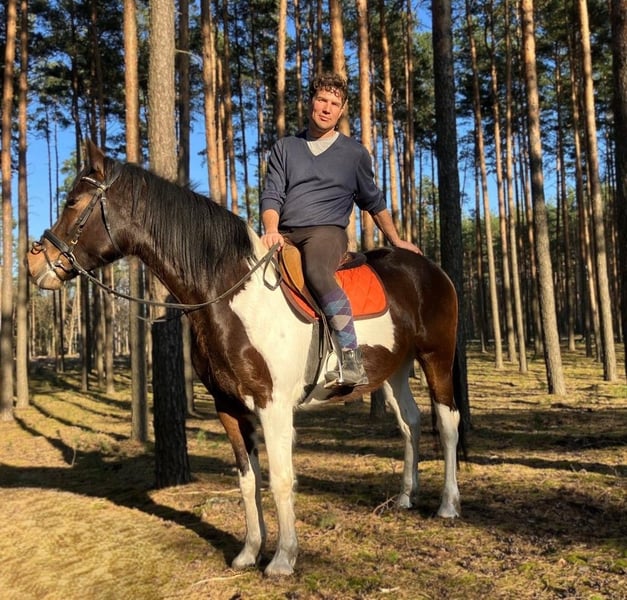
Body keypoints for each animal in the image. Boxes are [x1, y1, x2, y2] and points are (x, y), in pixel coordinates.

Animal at [27, 140, 462, 576]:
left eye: (72, 201)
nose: (33, 262)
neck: (231, 293)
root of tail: (428, 268)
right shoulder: (229, 406)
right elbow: (247, 479)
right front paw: (250, 551)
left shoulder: (273, 406)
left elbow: (281, 479)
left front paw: (283, 559)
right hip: (394, 370)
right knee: (410, 422)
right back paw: (406, 496)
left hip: (437, 357)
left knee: (447, 422)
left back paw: (448, 504)